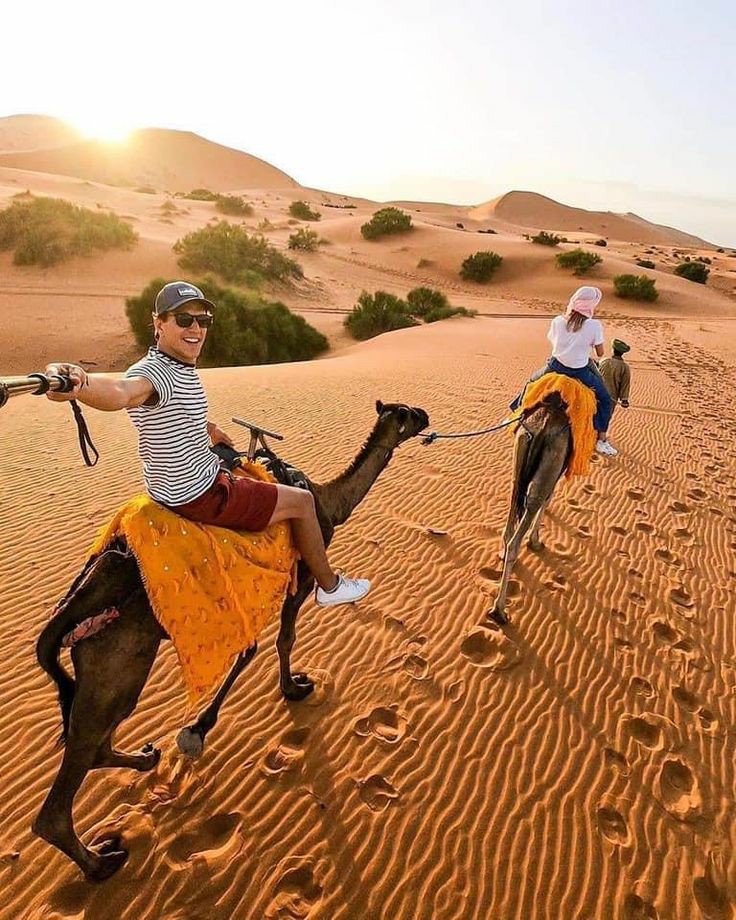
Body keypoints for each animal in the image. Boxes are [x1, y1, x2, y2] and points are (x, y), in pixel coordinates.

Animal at [33, 400, 426, 876]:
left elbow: (251, 648)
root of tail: (74, 602)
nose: (426, 416)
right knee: (69, 778)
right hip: (115, 661)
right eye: (408, 414)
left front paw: (198, 728)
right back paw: (100, 863)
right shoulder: (298, 581)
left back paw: (145, 759)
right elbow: (283, 640)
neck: (326, 502)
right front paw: (290, 690)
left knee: (96, 741)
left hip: (112, 666)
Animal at [488, 392, 576, 628]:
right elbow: (547, 500)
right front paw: (535, 541)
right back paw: (499, 611)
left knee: (512, 514)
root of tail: (543, 424)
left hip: (519, 456)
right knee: (533, 505)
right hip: (550, 463)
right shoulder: (556, 471)